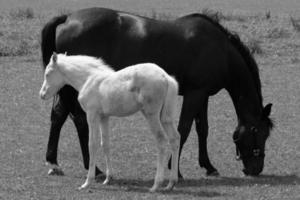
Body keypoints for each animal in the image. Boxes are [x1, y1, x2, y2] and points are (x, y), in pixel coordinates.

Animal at [39, 53, 180, 192]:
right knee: (174, 138)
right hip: (165, 117)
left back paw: (156, 184)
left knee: (161, 140)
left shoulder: (92, 115)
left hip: (151, 114)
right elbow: (105, 144)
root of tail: (165, 76)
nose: (42, 94)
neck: (87, 79)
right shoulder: (104, 117)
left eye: (48, 74)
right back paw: (171, 183)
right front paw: (108, 178)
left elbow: (92, 144)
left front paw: (87, 182)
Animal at [41, 7, 274, 177]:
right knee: (78, 120)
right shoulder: (195, 94)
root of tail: (67, 18)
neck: (220, 50)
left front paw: (208, 166)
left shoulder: (202, 94)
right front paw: (175, 170)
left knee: (59, 116)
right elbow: (184, 129)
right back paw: (94, 169)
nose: (256, 169)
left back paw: (55, 164)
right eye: (258, 132)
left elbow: (202, 129)